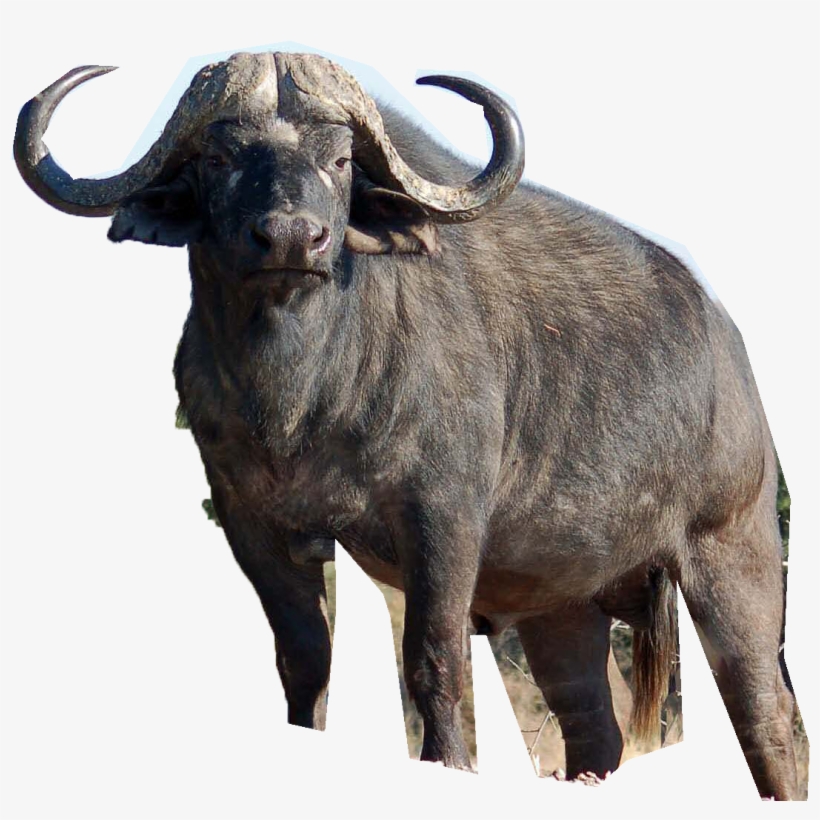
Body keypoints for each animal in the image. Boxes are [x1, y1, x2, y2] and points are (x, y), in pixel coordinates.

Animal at [14, 51, 801, 799]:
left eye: (339, 160)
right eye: (217, 158)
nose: (292, 238)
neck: (301, 399)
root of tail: (727, 346)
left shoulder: (442, 517)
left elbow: (433, 658)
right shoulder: (249, 519)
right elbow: (304, 657)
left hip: (735, 560)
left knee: (766, 716)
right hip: (561, 606)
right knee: (593, 727)